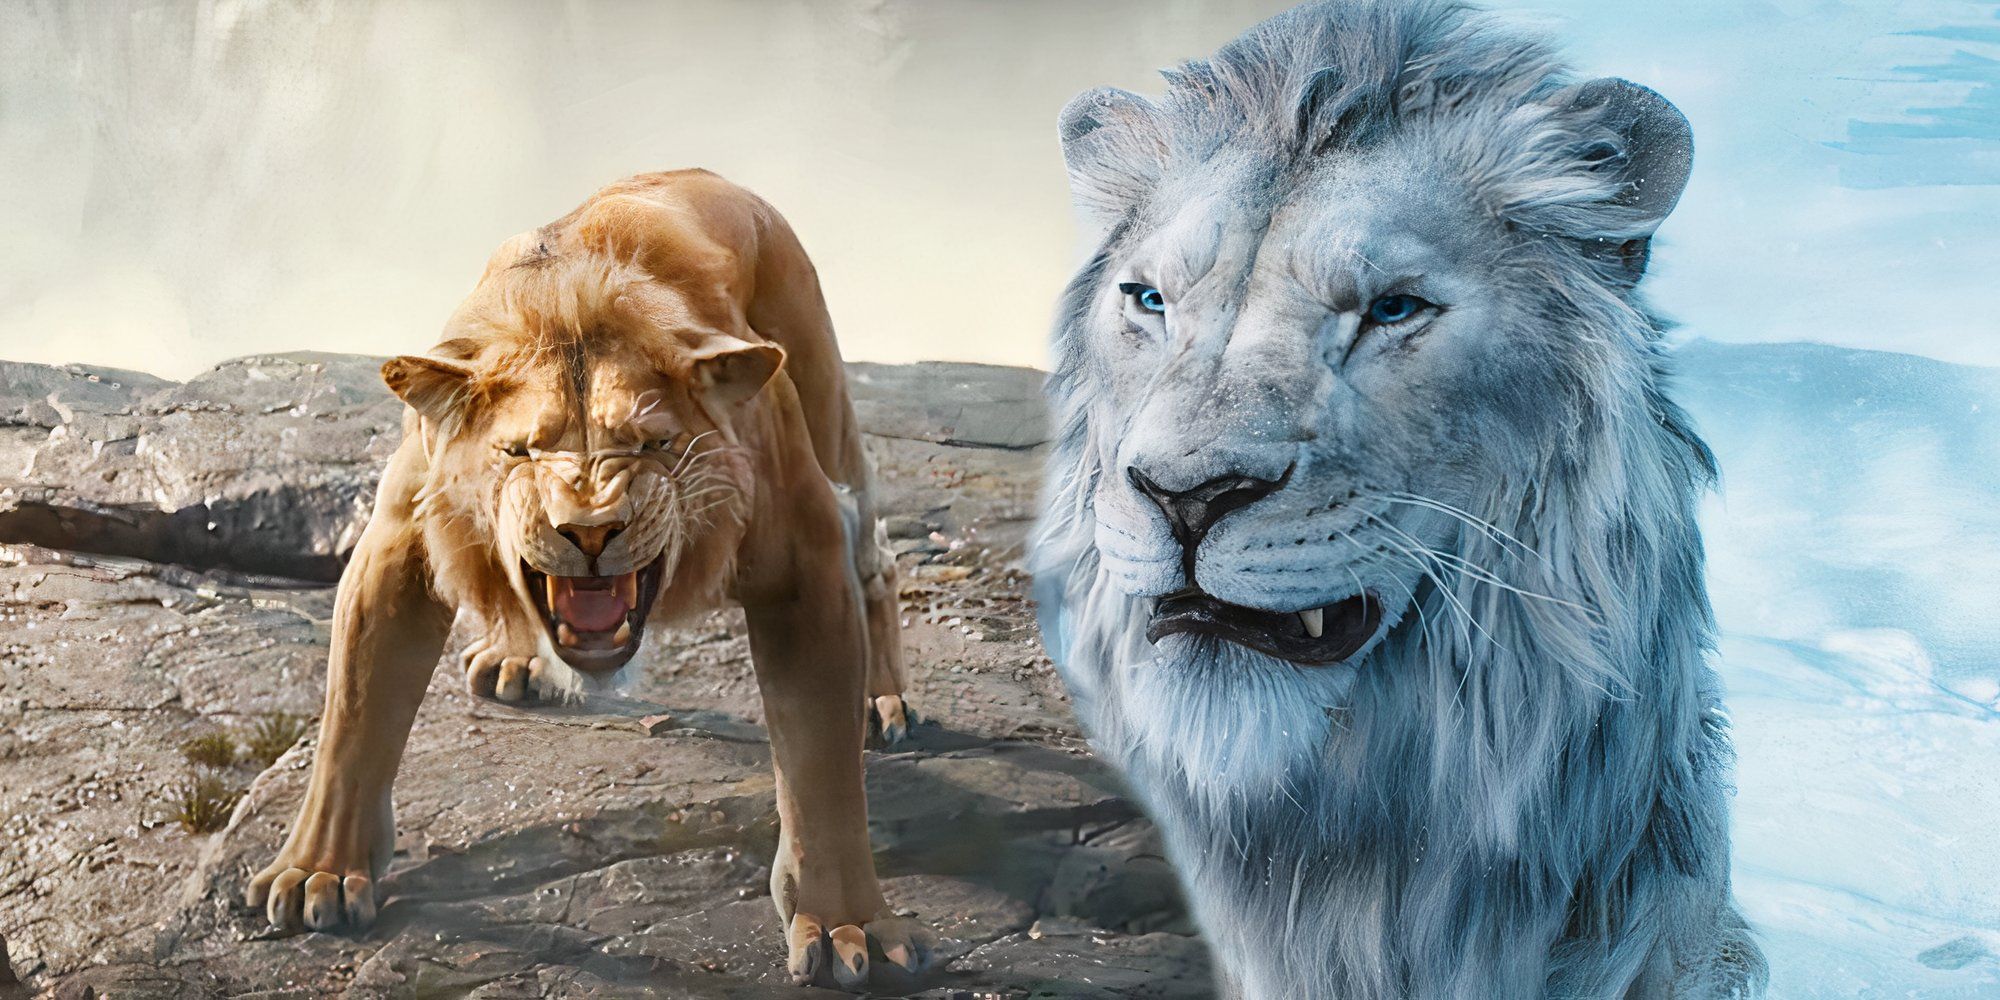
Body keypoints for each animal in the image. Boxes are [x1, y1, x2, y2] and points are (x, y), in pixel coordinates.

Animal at [246, 169, 932, 989]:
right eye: (520, 451)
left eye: (652, 443)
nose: (591, 530)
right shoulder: (400, 540)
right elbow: (353, 718)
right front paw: (316, 871)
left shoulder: (804, 556)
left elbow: (822, 768)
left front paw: (848, 924)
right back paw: (512, 660)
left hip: (823, 401)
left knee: (878, 560)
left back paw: (882, 702)